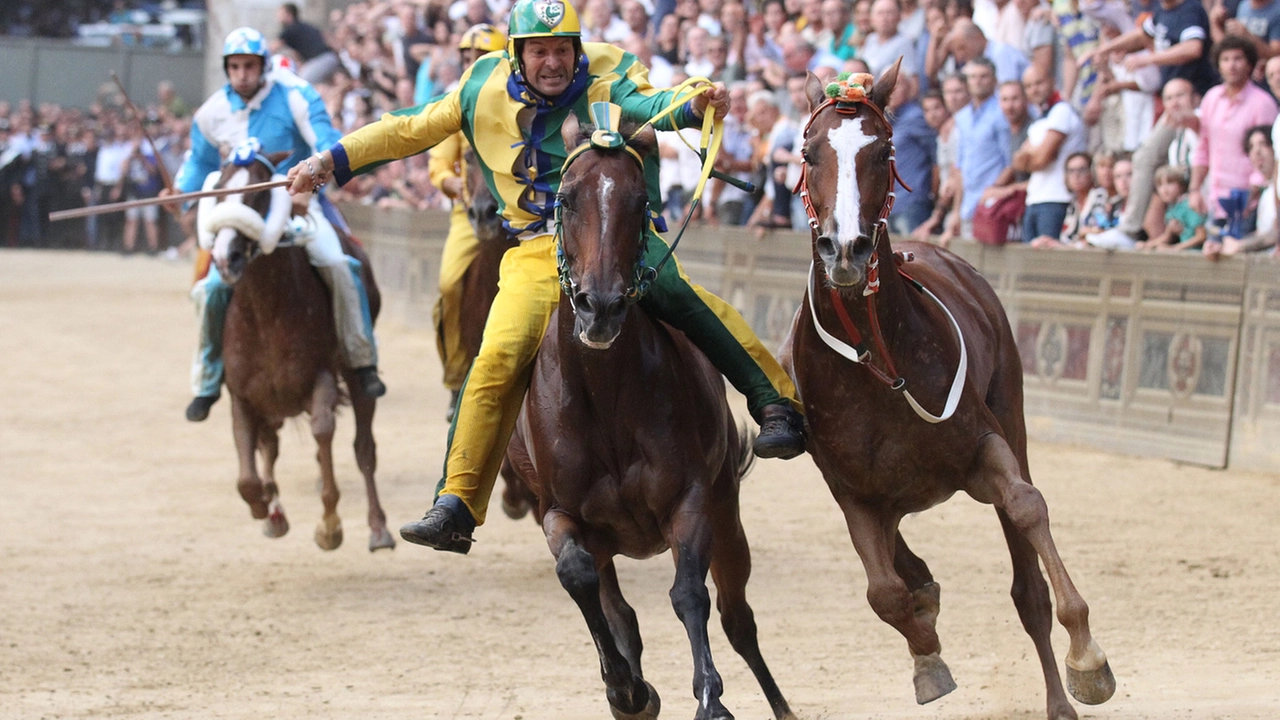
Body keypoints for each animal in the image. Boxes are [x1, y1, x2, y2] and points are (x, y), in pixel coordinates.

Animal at [200, 146, 394, 548]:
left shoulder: (319, 377)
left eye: (258, 196)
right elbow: (247, 474)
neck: (265, 313)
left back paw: (378, 528)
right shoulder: (243, 395)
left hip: (355, 376)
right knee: (271, 445)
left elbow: (323, 430)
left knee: (363, 447)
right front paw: (265, 506)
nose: (226, 258)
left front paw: (330, 525)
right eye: (220, 192)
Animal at [504, 109, 793, 717]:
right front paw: (627, 689)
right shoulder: (558, 511)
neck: (607, 401)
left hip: (727, 512)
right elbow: (579, 579)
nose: (601, 306)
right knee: (618, 608)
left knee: (739, 621)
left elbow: (689, 594)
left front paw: (711, 699)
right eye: (565, 197)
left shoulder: (692, 500)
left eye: (640, 203)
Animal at [783, 61, 1116, 717]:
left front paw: (1087, 657)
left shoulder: (983, 444)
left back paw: (1060, 695)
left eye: (883, 151)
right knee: (901, 564)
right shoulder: (851, 490)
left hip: (1010, 408)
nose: (846, 248)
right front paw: (928, 656)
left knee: (1027, 588)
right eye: (809, 154)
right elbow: (884, 592)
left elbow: (1027, 507)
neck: (875, 362)